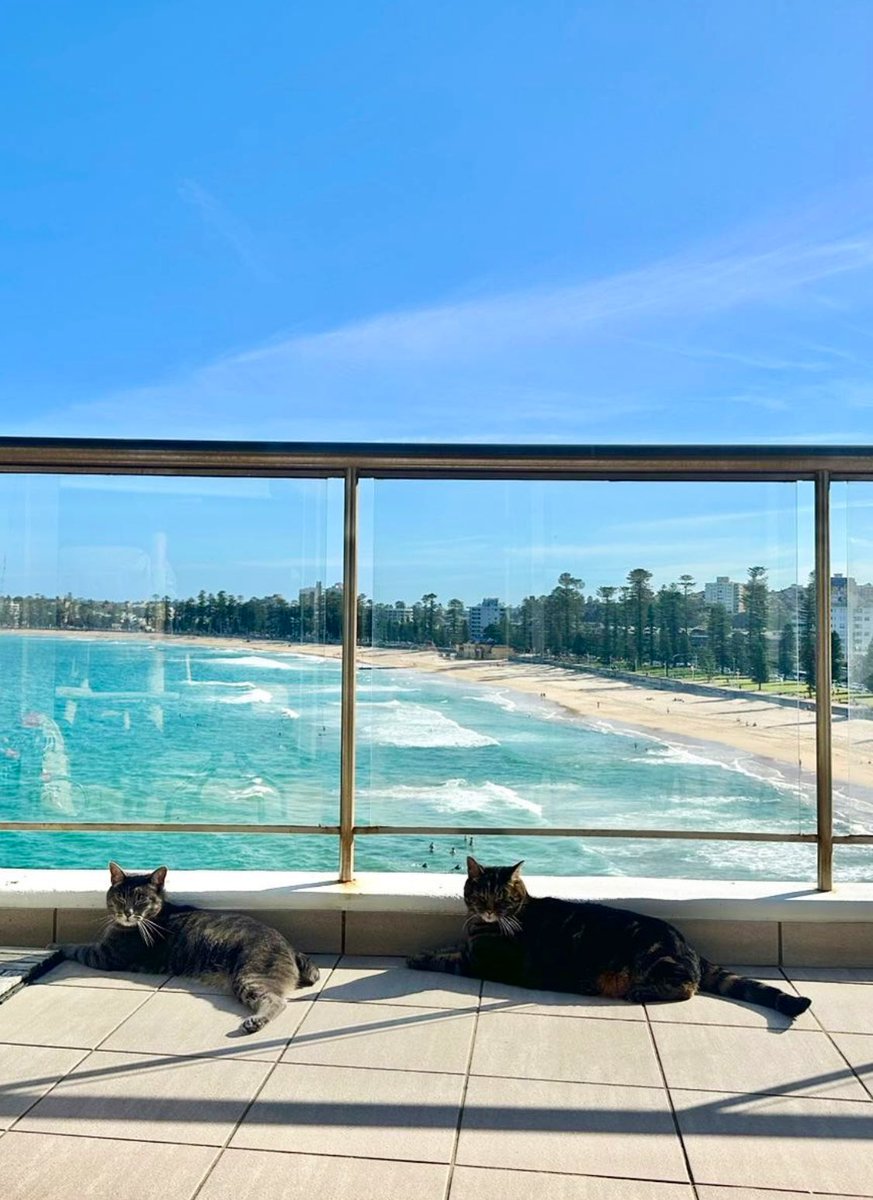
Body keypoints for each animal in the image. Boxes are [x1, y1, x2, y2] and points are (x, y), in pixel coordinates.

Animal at [55, 859, 321, 1036]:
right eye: (121, 897)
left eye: (140, 898)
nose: (127, 912)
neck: (154, 916)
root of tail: (291, 947)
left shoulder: (104, 955)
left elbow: (76, 947)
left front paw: (56, 944)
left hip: (250, 976)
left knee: (277, 1001)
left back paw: (254, 1022)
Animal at [410, 859, 810, 1017]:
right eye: (481, 894)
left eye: (503, 897)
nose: (491, 910)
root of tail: (689, 946)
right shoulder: (469, 946)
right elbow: (449, 946)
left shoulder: (478, 961)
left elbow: (445, 959)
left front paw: (419, 957)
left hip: (653, 956)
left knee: (687, 987)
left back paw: (640, 992)